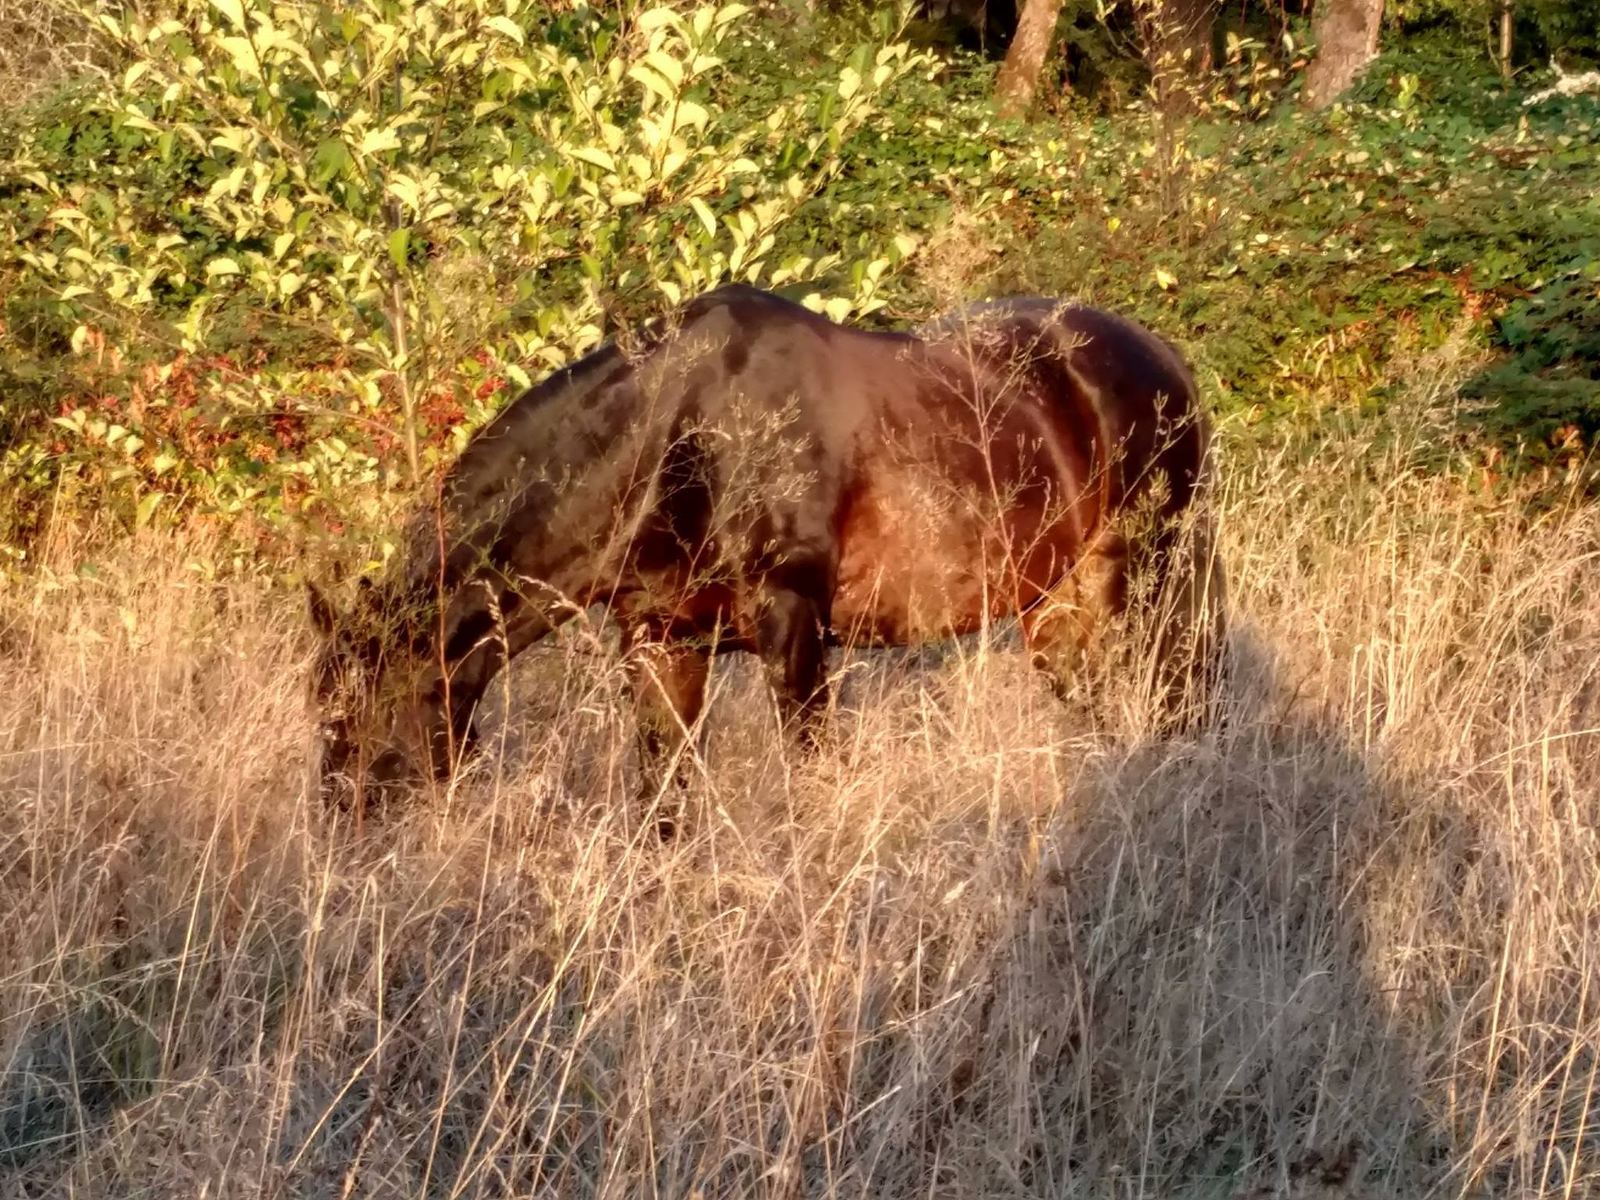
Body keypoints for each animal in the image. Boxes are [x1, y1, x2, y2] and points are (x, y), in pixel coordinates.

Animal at [309, 284, 1225, 832]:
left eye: (360, 710)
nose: (340, 830)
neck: (682, 436)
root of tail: (1161, 355)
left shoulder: (794, 632)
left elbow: (811, 783)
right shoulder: (659, 643)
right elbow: (663, 803)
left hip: (1158, 576)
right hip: (1056, 609)